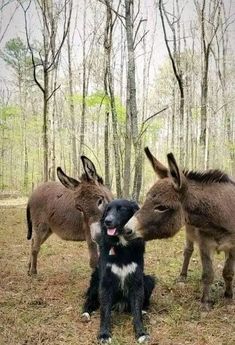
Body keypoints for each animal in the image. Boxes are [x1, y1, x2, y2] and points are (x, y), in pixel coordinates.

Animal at [81, 198, 155, 342]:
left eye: (122, 209)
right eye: (107, 210)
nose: (107, 221)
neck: (121, 246)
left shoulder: (137, 281)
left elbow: (136, 310)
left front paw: (141, 333)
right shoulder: (105, 282)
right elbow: (105, 311)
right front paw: (104, 334)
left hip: (149, 280)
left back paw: (144, 310)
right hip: (95, 281)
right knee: (90, 300)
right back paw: (86, 314)